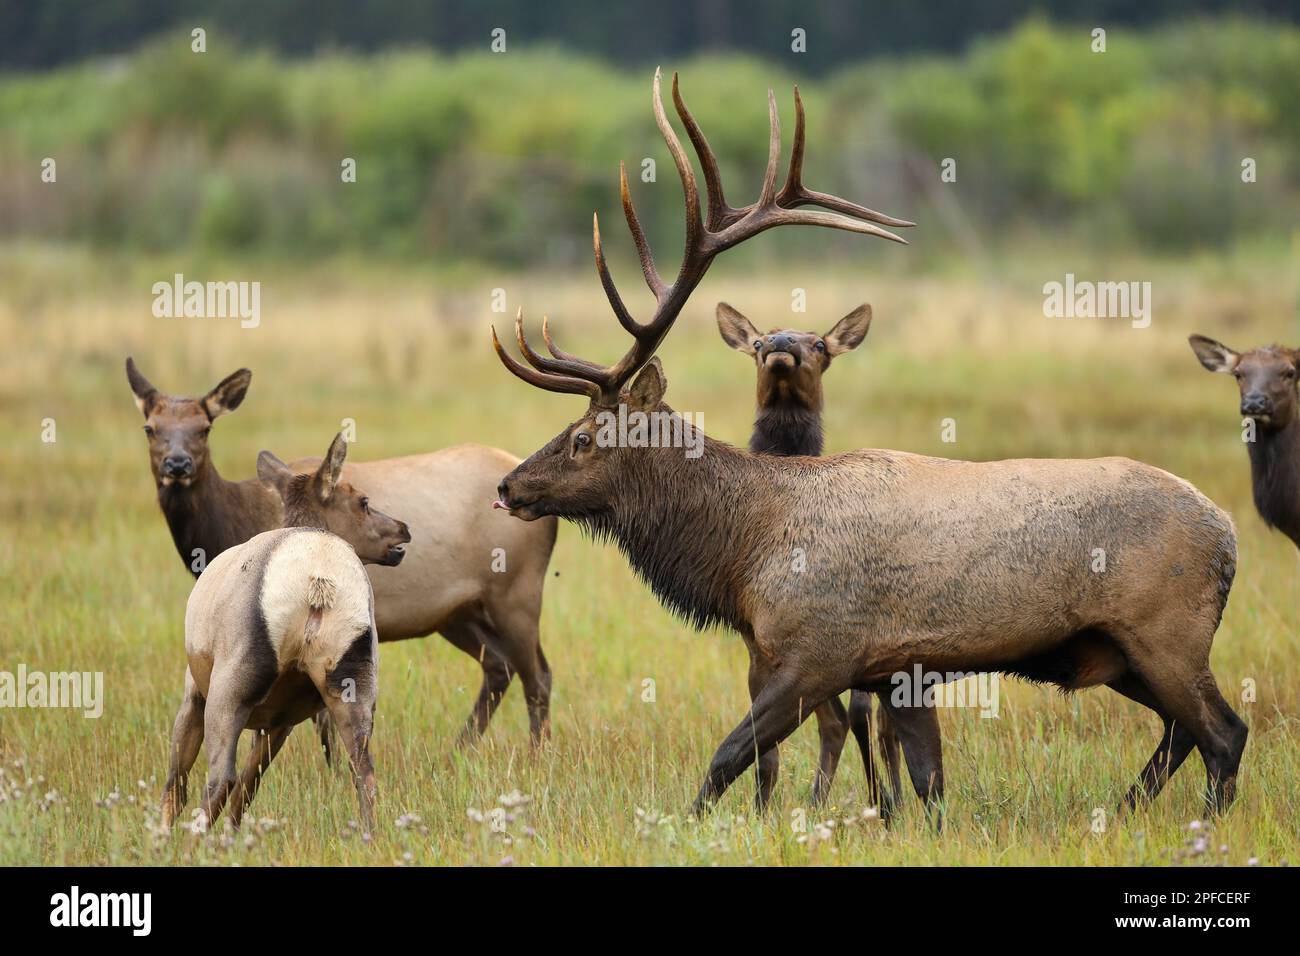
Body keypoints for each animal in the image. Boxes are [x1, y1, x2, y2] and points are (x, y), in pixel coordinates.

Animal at [126, 358, 558, 754]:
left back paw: (535, 757)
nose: (177, 465)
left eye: (204, 428)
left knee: (538, 675)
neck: (230, 526)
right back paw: (459, 750)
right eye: (150, 428)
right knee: (499, 667)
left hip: (516, 592)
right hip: (458, 611)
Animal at [160, 432, 411, 832]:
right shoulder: (282, 719)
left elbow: (177, 782)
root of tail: (317, 579)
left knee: (219, 777)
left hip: (230, 687)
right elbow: (250, 784)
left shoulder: (193, 690)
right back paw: (370, 836)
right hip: (350, 683)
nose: (404, 528)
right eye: (364, 501)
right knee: (363, 772)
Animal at [716, 301, 908, 812]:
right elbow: (772, 745)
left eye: (820, 343)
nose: (781, 344)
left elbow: (855, 718)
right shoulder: (760, 645)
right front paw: (763, 810)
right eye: (757, 341)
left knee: (879, 725)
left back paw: (892, 800)